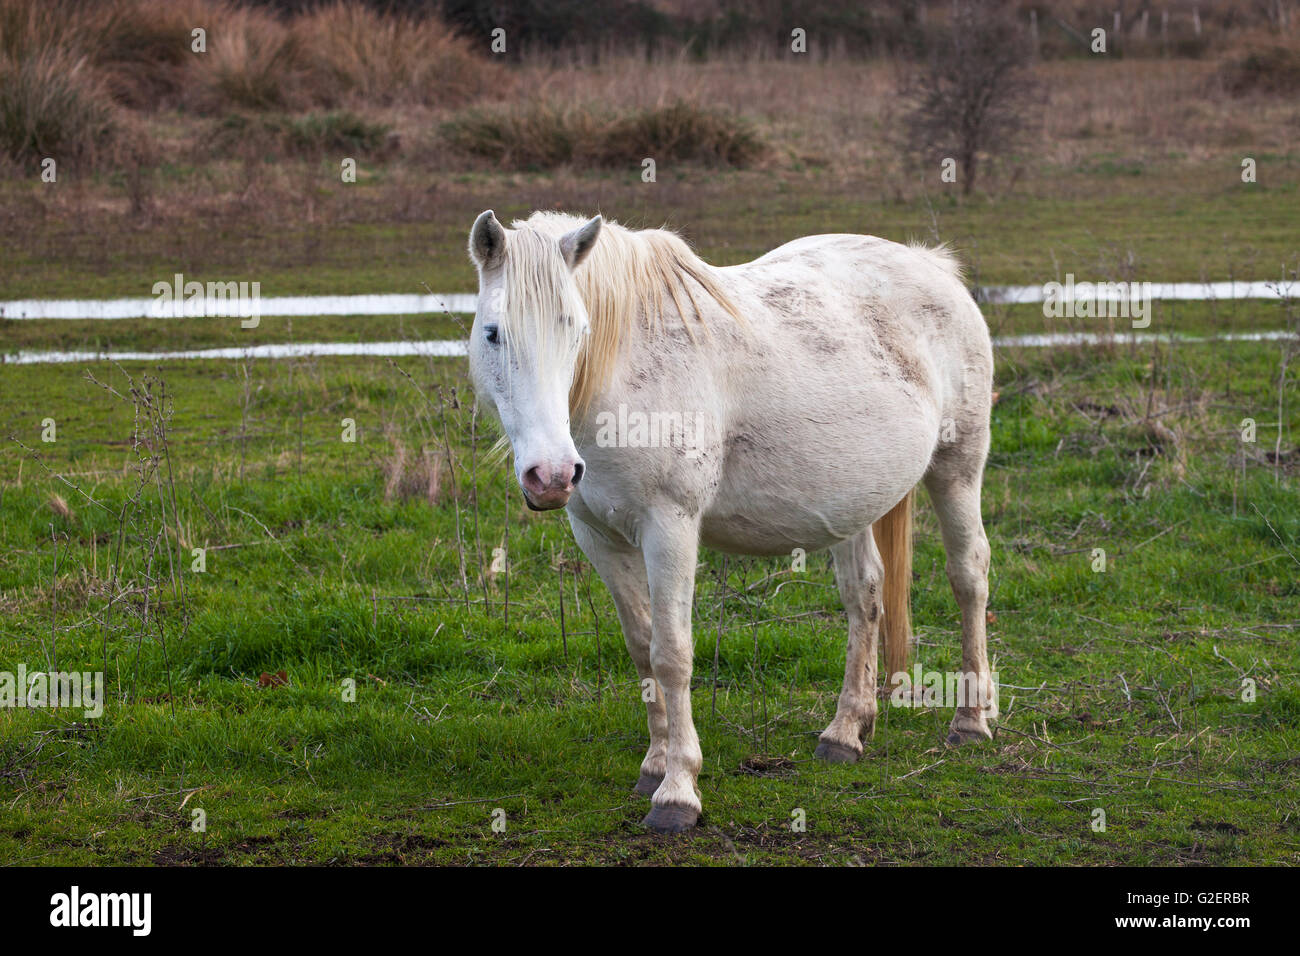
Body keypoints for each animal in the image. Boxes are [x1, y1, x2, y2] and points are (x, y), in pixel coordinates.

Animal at [465, 209, 996, 834]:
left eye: (577, 329)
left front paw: (677, 792)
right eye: (493, 332)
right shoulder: (598, 537)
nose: (550, 474)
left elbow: (672, 655)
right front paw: (653, 764)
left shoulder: (669, 528)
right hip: (854, 502)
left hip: (958, 466)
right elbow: (641, 647)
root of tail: (932, 265)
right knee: (864, 594)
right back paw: (846, 732)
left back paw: (971, 720)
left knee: (968, 576)